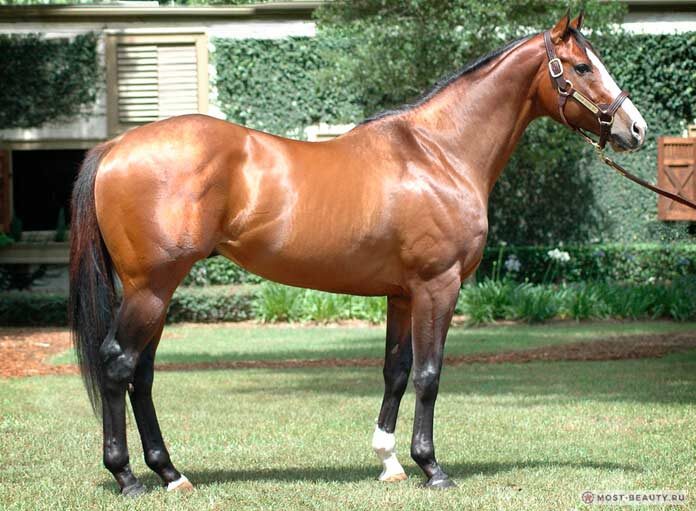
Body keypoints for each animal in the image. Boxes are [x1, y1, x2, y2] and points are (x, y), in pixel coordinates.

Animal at [69, 12, 647, 495]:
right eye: (580, 66)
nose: (635, 128)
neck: (439, 152)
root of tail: (115, 148)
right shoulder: (439, 285)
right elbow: (429, 374)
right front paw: (432, 467)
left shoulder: (403, 294)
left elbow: (396, 370)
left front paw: (389, 462)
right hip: (151, 287)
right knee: (118, 364)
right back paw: (127, 477)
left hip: (157, 291)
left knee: (141, 374)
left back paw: (171, 474)